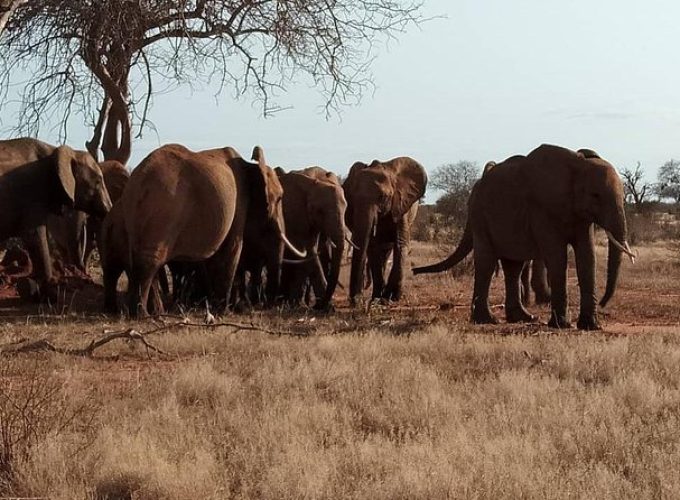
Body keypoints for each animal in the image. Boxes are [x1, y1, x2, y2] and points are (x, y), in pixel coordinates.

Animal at [0, 137, 113, 294]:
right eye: (98, 181)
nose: (87, 277)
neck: (53, 150)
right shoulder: (32, 195)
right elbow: (34, 235)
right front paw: (48, 285)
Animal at [119, 145, 306, 316]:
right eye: (280, 198)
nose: (266, 305)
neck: (251, 166)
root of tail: (139, 180)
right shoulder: (239, 203)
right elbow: (232, 249)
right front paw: (225, 312)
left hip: (135, 214)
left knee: (138, 258)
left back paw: (147, 313)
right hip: (163, 210)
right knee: (150, 261)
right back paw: (143, 315)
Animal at [342, 156, 428, 304]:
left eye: (383, 197)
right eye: (352, 198)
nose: (356, 300)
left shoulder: (401, 205)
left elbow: (400, 244)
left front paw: (391, 297)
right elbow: (374, 247)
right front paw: (378, 298)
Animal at [412, 145, 636, 330]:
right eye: (595, 195)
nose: (604, 303)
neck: (577, 165)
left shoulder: (580, 215)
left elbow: (587, 257)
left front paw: (591, 326)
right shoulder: (542, 210)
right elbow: (557, 256)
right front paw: (562, 325)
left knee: (513, 267)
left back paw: (523, 318)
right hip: (479, 217)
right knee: (486, 263)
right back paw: (487, 320)